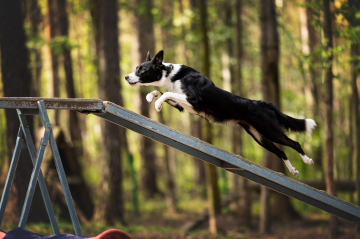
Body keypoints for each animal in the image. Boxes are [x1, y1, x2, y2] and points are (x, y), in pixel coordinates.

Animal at [125, 49, 316, 176]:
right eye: (136, 68)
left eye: (142, 69)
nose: (126, 77)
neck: (171, 74)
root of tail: (265, 103)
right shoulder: (182, 104)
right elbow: (161, 92)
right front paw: (150, 96)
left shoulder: (193, 100)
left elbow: (166, 94)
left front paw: (157, 104)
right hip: (260, 137)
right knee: (281, 152)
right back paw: (294, 170)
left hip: (269, 130)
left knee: (294, 143)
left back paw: (308, 160)